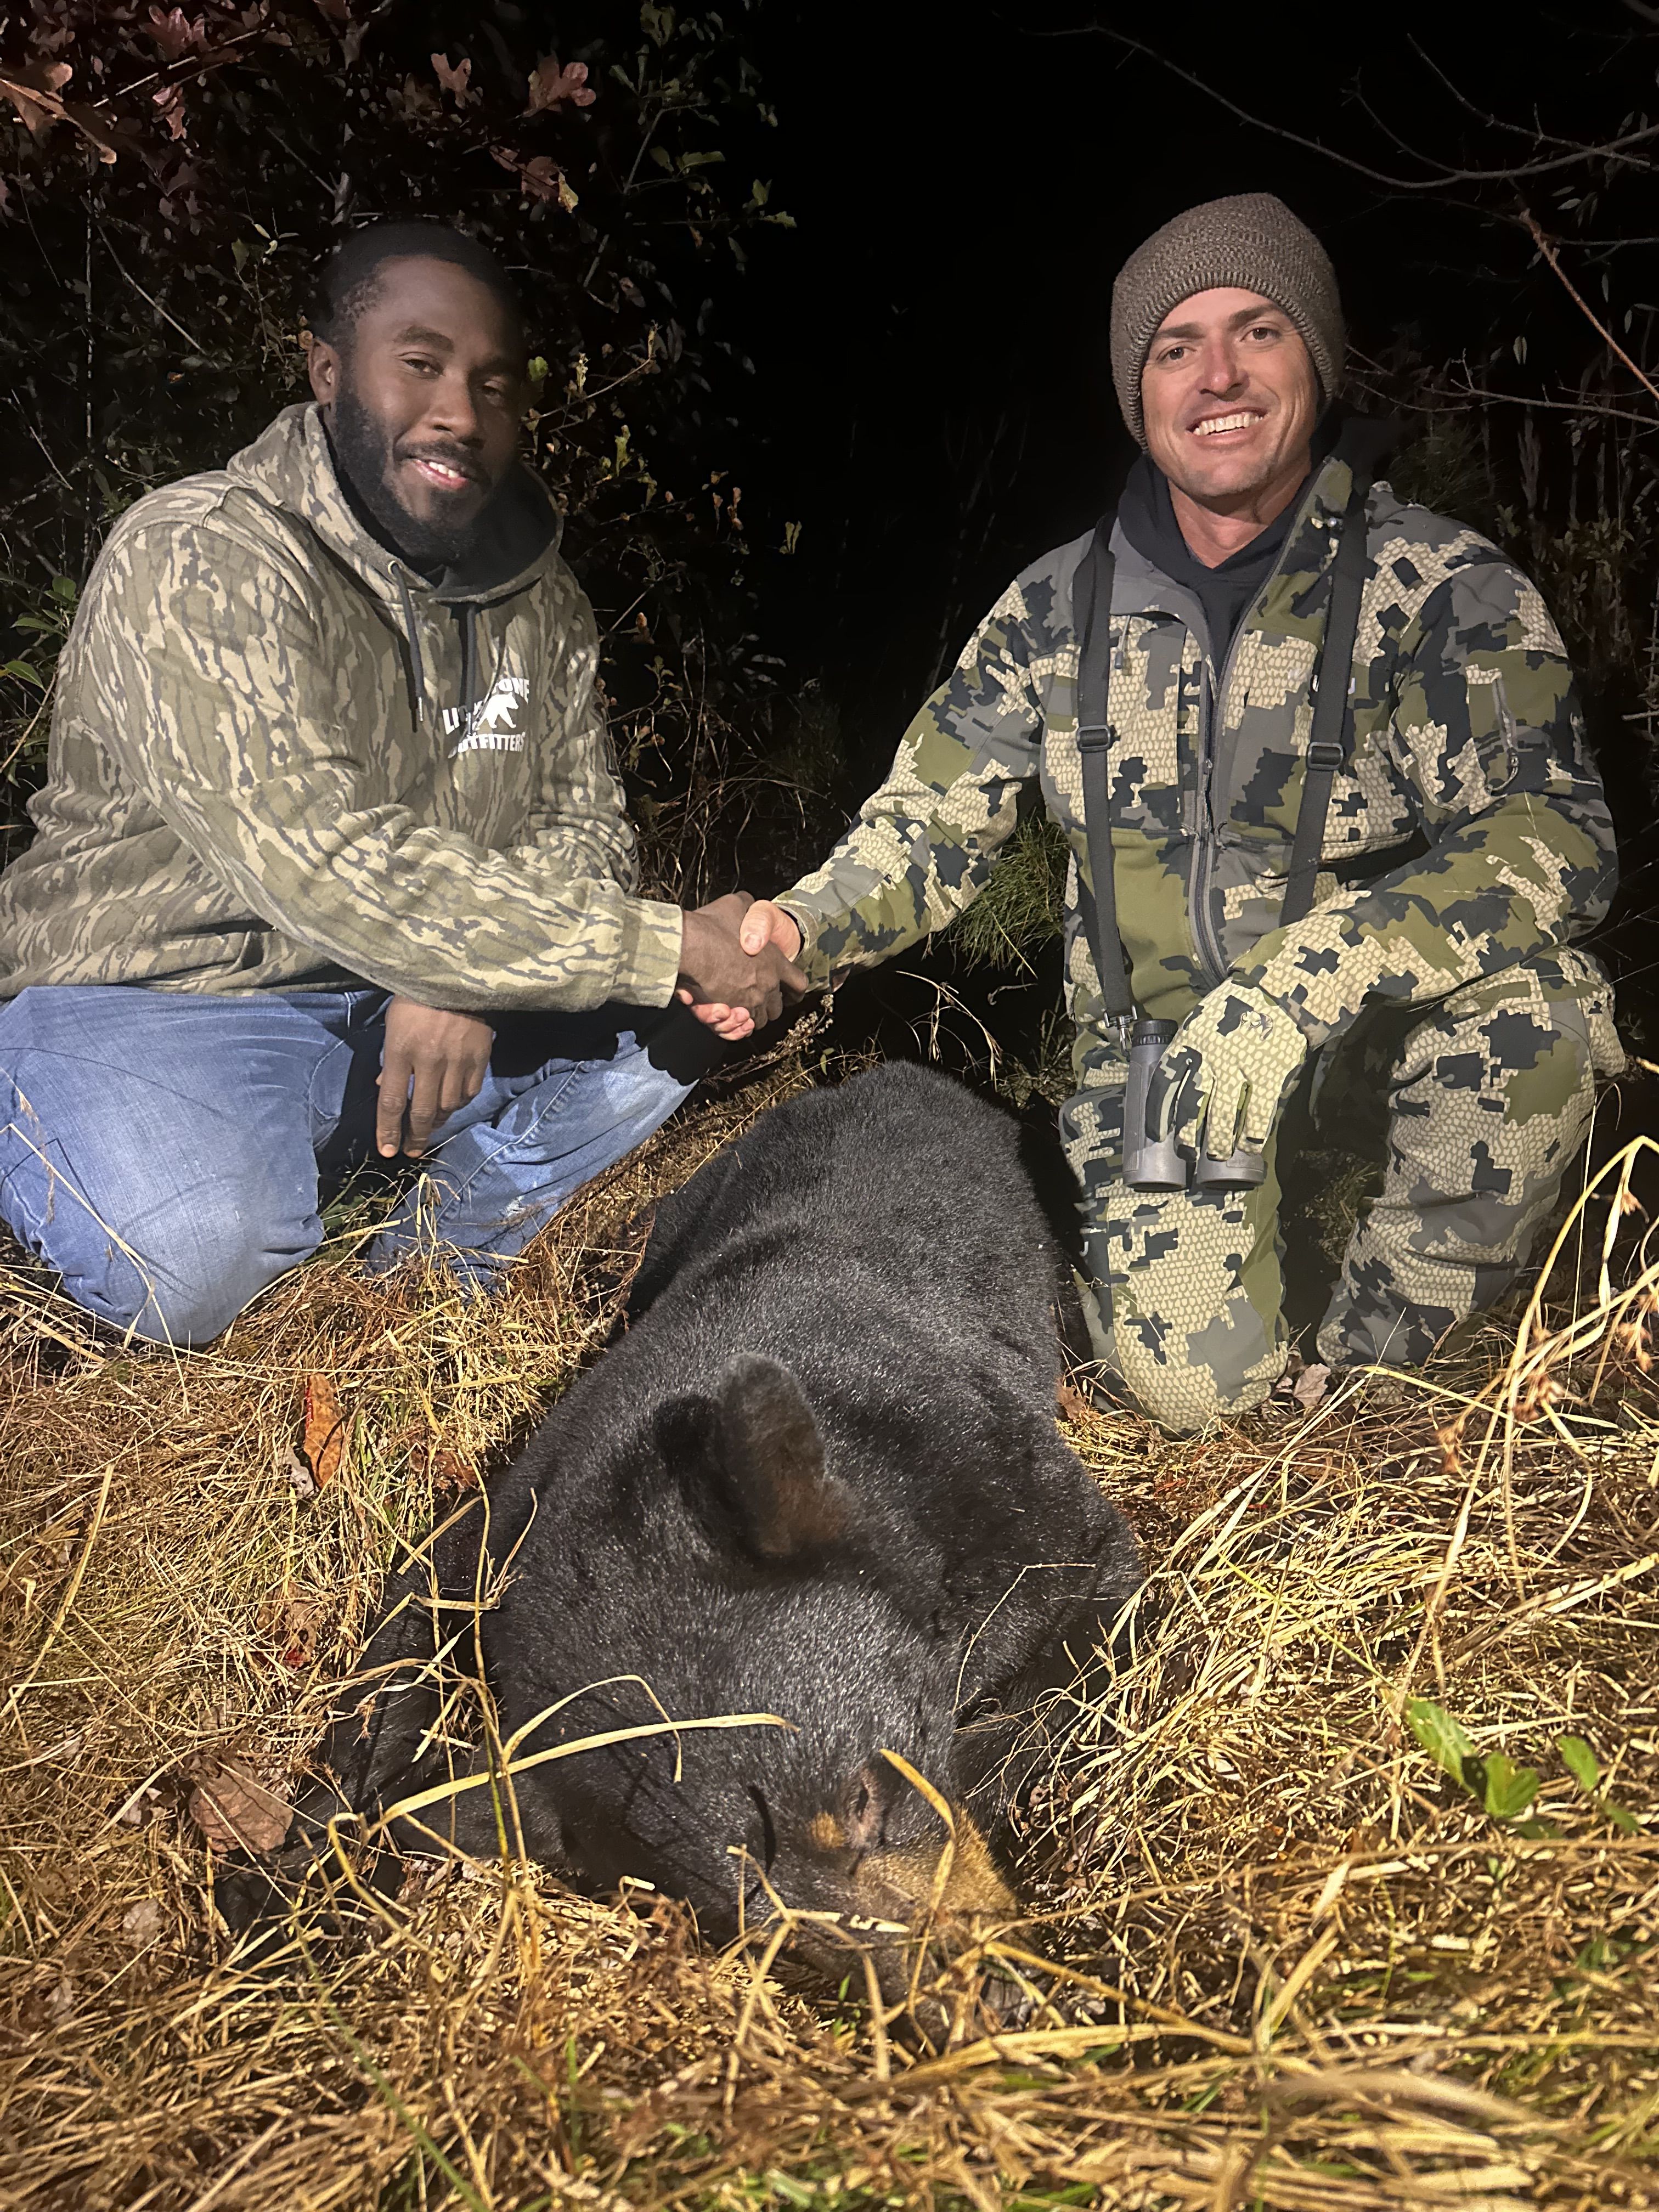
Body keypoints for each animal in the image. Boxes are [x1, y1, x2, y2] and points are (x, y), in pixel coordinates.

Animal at [236, 1065, 1142, 1989]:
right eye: (758, 1925)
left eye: (865, 1797)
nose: (989, 1991)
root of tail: (899, 1071)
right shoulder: (512, 1514)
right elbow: (410, 1622)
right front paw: (300, 1866)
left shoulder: (985, 1476)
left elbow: (1091, 1603)